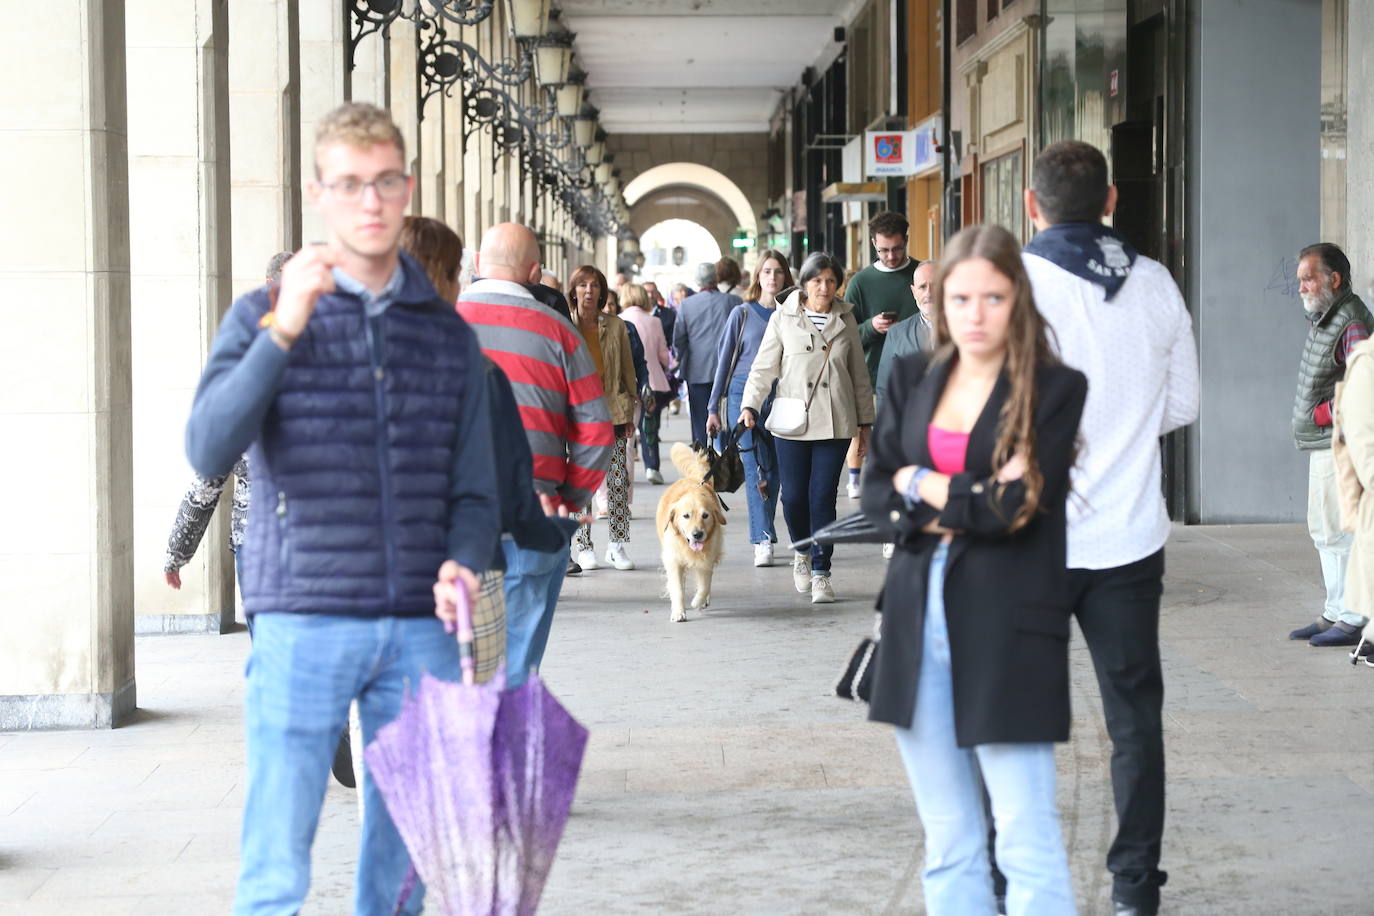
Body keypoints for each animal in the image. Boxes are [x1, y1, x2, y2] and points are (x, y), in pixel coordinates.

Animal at [656, 444, 730, 623]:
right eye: (686, 516)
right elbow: (677, 588)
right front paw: (678, 612)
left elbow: (704, 585)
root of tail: (695, 478)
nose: (697, 534)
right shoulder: (673, 560)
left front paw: (698, 601)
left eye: (705, 515)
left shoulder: (707, 559)